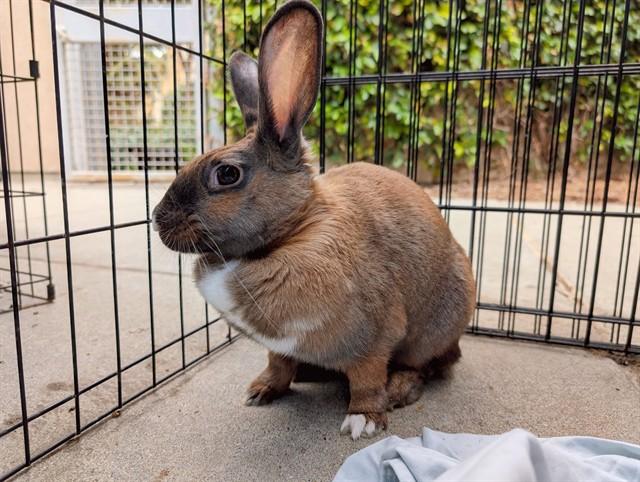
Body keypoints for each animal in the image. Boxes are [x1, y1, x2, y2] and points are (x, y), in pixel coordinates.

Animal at [152, 0, 476, 440]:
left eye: (227, 174)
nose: (157, 220)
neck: (290, 234)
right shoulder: (277, 345)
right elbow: (277, 364)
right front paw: (260, 391)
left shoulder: (374, 336)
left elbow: (367, 377)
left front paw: (363, 421)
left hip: (434, 330)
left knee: (423, 366)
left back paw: (398, 389)